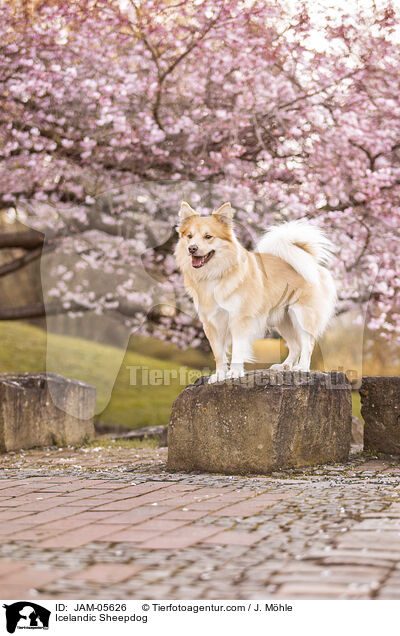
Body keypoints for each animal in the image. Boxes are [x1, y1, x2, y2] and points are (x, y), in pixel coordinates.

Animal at [177, 202, 336, 382]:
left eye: (208, 236)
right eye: (189, 236)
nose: (191, 248)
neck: (215, 274)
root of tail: (311, 261)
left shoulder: (239, 319)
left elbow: (238, 349)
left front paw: (235, 372)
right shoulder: (212, 324)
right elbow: (218, 354)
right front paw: (219, 375)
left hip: (302, 316)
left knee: (307, 344)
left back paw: (302, 368)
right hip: (284, 320)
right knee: (295, 346)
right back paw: (285, 366)